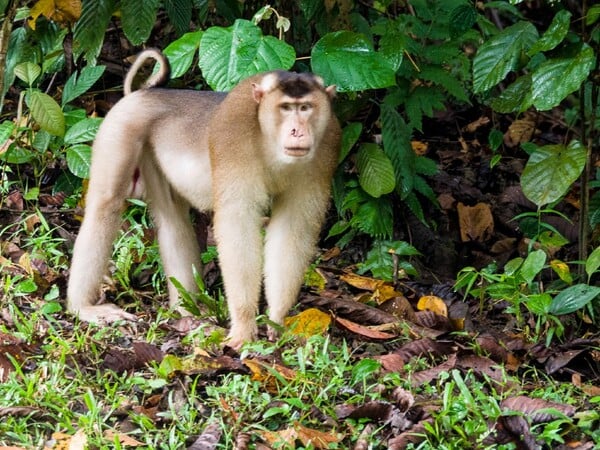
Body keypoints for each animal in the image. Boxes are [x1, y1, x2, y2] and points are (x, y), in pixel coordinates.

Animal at [66, 47, 342, 346]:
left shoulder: (327, 145)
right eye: (286, 108)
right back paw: (83, 307)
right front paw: (244, 326)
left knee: (172, 219)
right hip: (121, 127)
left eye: (306, 108)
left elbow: (293, 227)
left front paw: (277, 320)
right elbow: (237, 223)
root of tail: (148, 92)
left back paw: (185, 311)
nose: (297, 131)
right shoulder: (234, 137)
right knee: (106, 204)